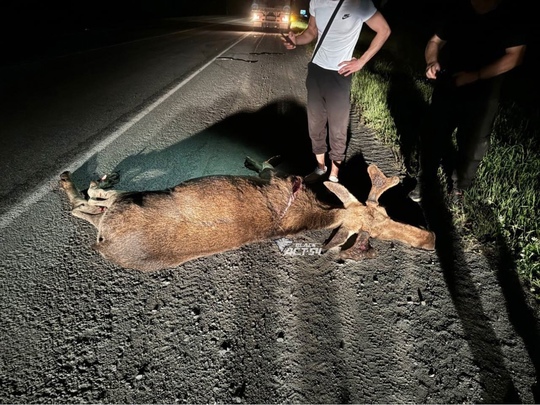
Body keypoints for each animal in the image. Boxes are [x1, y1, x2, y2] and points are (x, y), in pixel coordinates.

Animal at [59, 156, 436, 270]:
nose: (431, 238)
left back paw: (80, 180)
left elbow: (269, 165)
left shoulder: (277, 177)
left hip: (129, 202)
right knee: (87, 204)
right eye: (384, 214)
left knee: (90, 200)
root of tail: (105, 242)